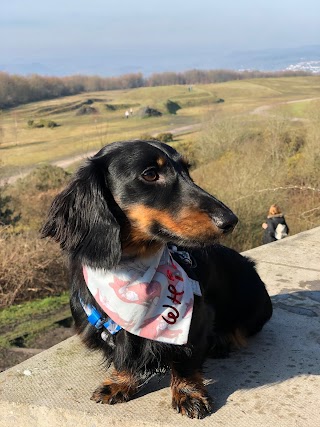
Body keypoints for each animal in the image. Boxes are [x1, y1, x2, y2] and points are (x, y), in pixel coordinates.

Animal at [42, 140, 272, 418]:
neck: (132, 270)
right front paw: (120, 382)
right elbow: (125, 354)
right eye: (150, 174)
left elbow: (185, 358)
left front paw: (188, 393)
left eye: (187, 170)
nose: (230, 220)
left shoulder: (197, 318)